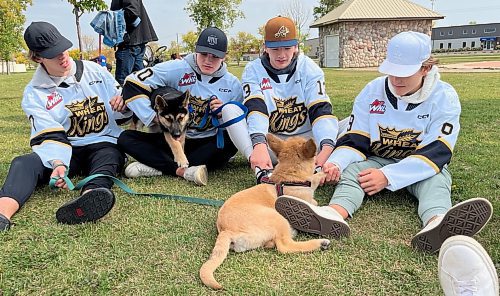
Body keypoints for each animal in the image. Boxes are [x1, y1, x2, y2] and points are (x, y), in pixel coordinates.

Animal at [199, 134, 332, 290]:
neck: (287, 176)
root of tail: (227, 231)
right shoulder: (306, 196)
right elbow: (314, 186)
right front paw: (323, 174)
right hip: (278, 218)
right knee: (285, 246)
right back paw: (320, 243)